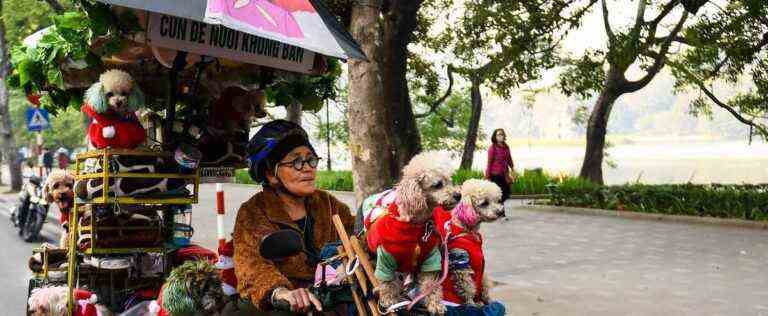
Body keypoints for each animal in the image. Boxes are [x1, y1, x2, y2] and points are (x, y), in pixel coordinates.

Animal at [436, 179, 508, 308]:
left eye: (497, 200)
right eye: (484, 203)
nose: (501, 212)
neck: (467, 231)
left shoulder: (481, 273)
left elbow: (484, 287)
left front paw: (489, 302)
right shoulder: (462, 266)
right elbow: (468, 289)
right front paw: (472, 305)